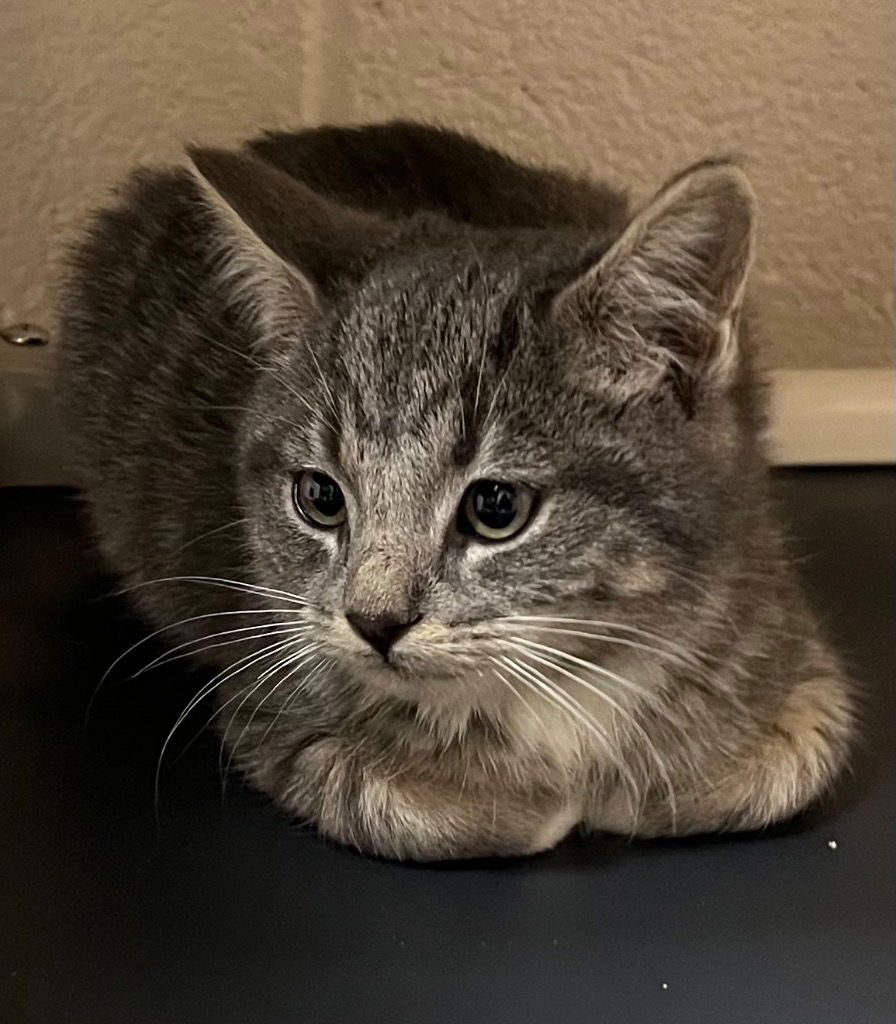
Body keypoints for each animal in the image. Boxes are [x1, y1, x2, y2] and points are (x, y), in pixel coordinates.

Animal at [59, 121, 855, 860]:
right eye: (321, 498)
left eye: (496, 508)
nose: (373, 622)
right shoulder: (265, 694)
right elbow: (435, 808)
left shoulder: (785, 646)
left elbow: (770, 772)